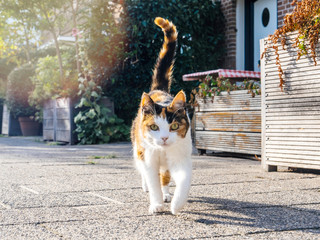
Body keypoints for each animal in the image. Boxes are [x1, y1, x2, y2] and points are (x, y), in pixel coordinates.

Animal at [131, 17, 192, 216]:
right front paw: (156, 204)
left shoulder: (181, 156)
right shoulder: (148, 157)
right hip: (138, 148)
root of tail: (159, 90)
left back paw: (167, 194)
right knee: (145, 172)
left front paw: (176, 204)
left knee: (164, 175)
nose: (164, 138)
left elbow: (183, 179)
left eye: (174, 126)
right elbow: (152, 179)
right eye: (154, 127)